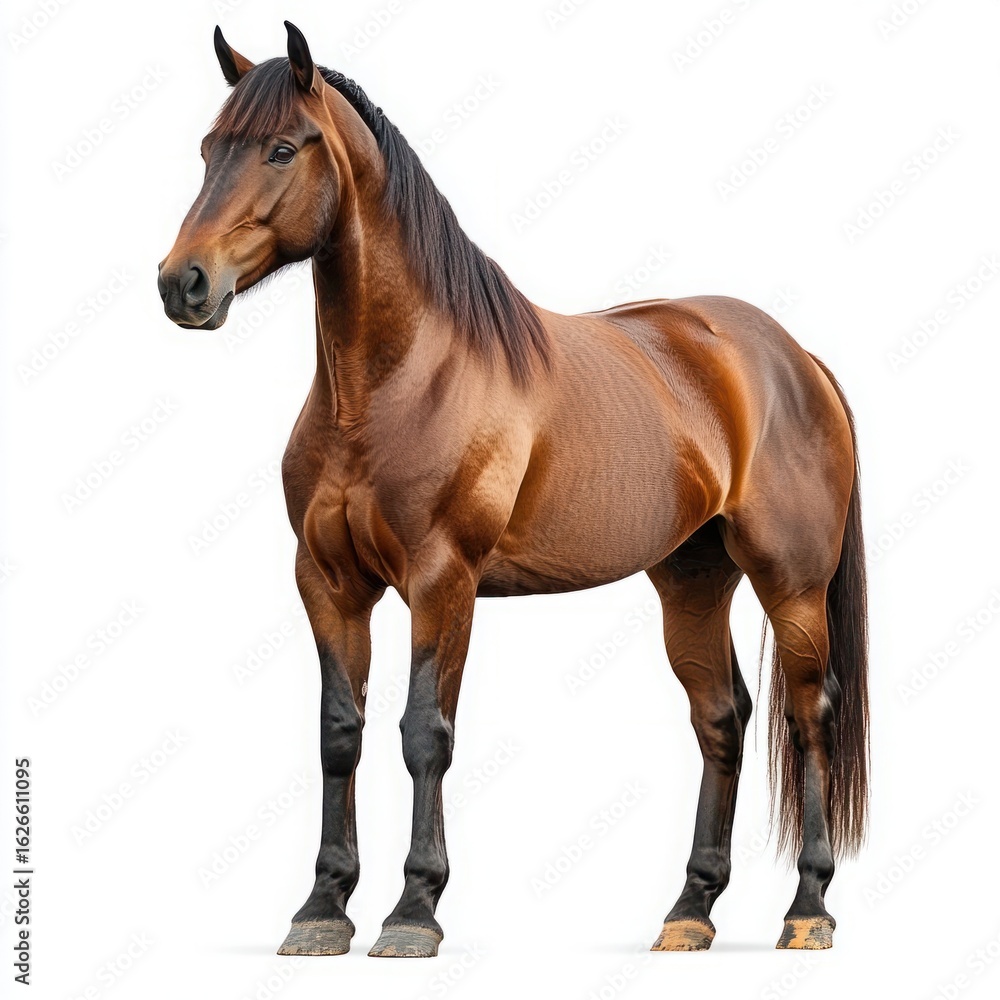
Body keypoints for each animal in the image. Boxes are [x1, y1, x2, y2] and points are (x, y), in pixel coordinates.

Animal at [158, 22, 869, 957]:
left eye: (281, 147)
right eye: (209, 149)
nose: (183, 283)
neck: (395, 384)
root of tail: (794, 357)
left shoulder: (442, 582)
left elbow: (424, 733)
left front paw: (413, 911)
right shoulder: (328, 584)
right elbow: (338, 734)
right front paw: (321, 908)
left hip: (792, 585)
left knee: (808, 714)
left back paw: (808, 908)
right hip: (691, 579)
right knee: (723, 718)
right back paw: (689, 911)